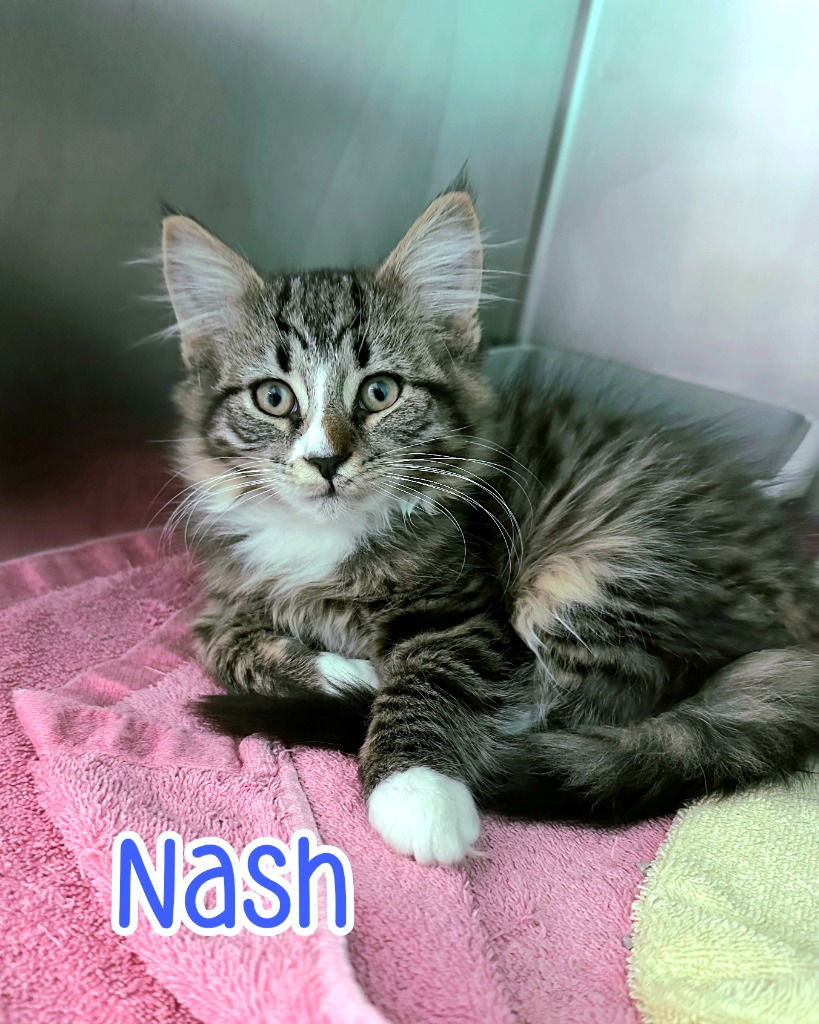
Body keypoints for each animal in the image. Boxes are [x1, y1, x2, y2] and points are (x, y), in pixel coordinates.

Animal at [161, 187, 819, 865]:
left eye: (379, 392)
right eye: (273, 398)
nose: (324, 461)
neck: (328, 538)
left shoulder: (462, 611)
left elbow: (432, 681)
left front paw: (417, 792)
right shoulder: (220, 600)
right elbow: (224, 646)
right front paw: (346, 673)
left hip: (590, 577)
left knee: (569, 708)